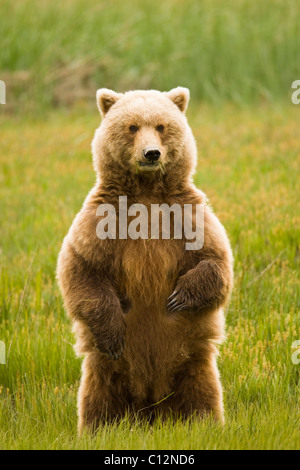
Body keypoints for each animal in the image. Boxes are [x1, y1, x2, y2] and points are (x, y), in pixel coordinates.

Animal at [56, 86, 234, 432]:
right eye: (132, 127)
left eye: (162, 126)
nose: (151, 153)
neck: (147, 193)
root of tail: (151, 408)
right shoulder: (102, 218)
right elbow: (82, 269)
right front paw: (113, 334)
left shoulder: (188, 215)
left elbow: (216, 261)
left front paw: (179, 297)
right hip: (105, 371)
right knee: (97, 398)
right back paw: (97, 430)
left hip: (193, 362)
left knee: (203, 393)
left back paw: (204, 424)